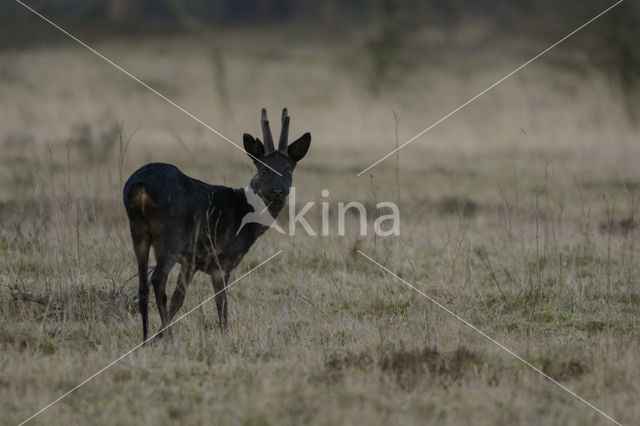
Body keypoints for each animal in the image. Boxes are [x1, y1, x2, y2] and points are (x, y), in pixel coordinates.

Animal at [122, 108, 310, 342]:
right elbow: (222, 303)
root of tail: (139, 187)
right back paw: (170, 339)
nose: (278, 191)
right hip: (171, 235)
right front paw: (225, 337)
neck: (246, 216)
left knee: (142, 286)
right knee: (157, 279)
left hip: (138, 231)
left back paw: (145, 339)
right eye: (264, 170)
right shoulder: (223, 261)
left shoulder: (191, 261)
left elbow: (178, 299)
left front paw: (157, 337)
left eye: (288, 170)